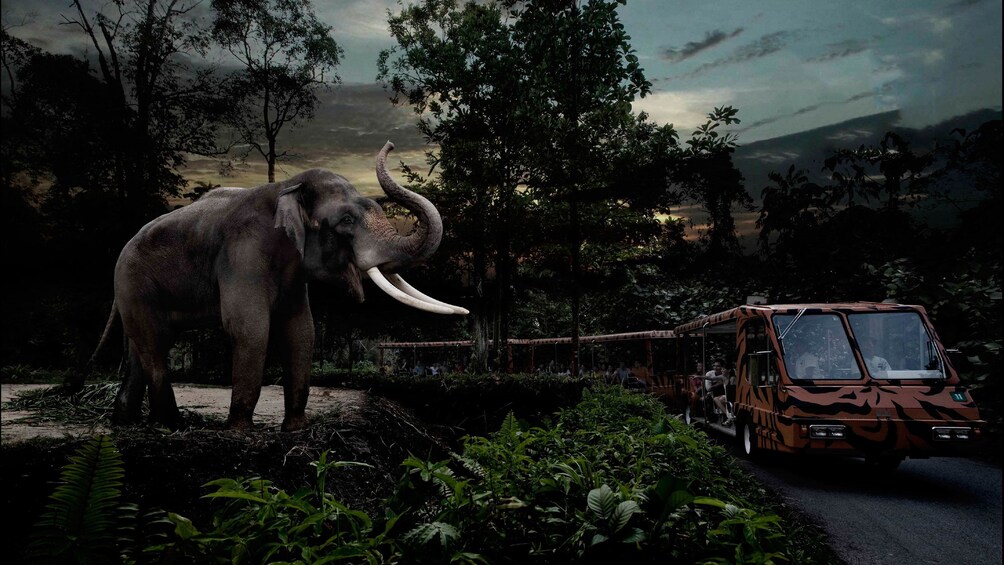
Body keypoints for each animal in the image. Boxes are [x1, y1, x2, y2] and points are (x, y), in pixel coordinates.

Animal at [88, 142, 463, 433]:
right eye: (346, 221)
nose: (390, 145)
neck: (288, 185)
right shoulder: (242, 252)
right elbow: (249, 327)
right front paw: (240, 432)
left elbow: (301, 329)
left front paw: (295, 430)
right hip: (134, 282)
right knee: (154, 343)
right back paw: (172, 426)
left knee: (145, 345)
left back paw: (126, 422)